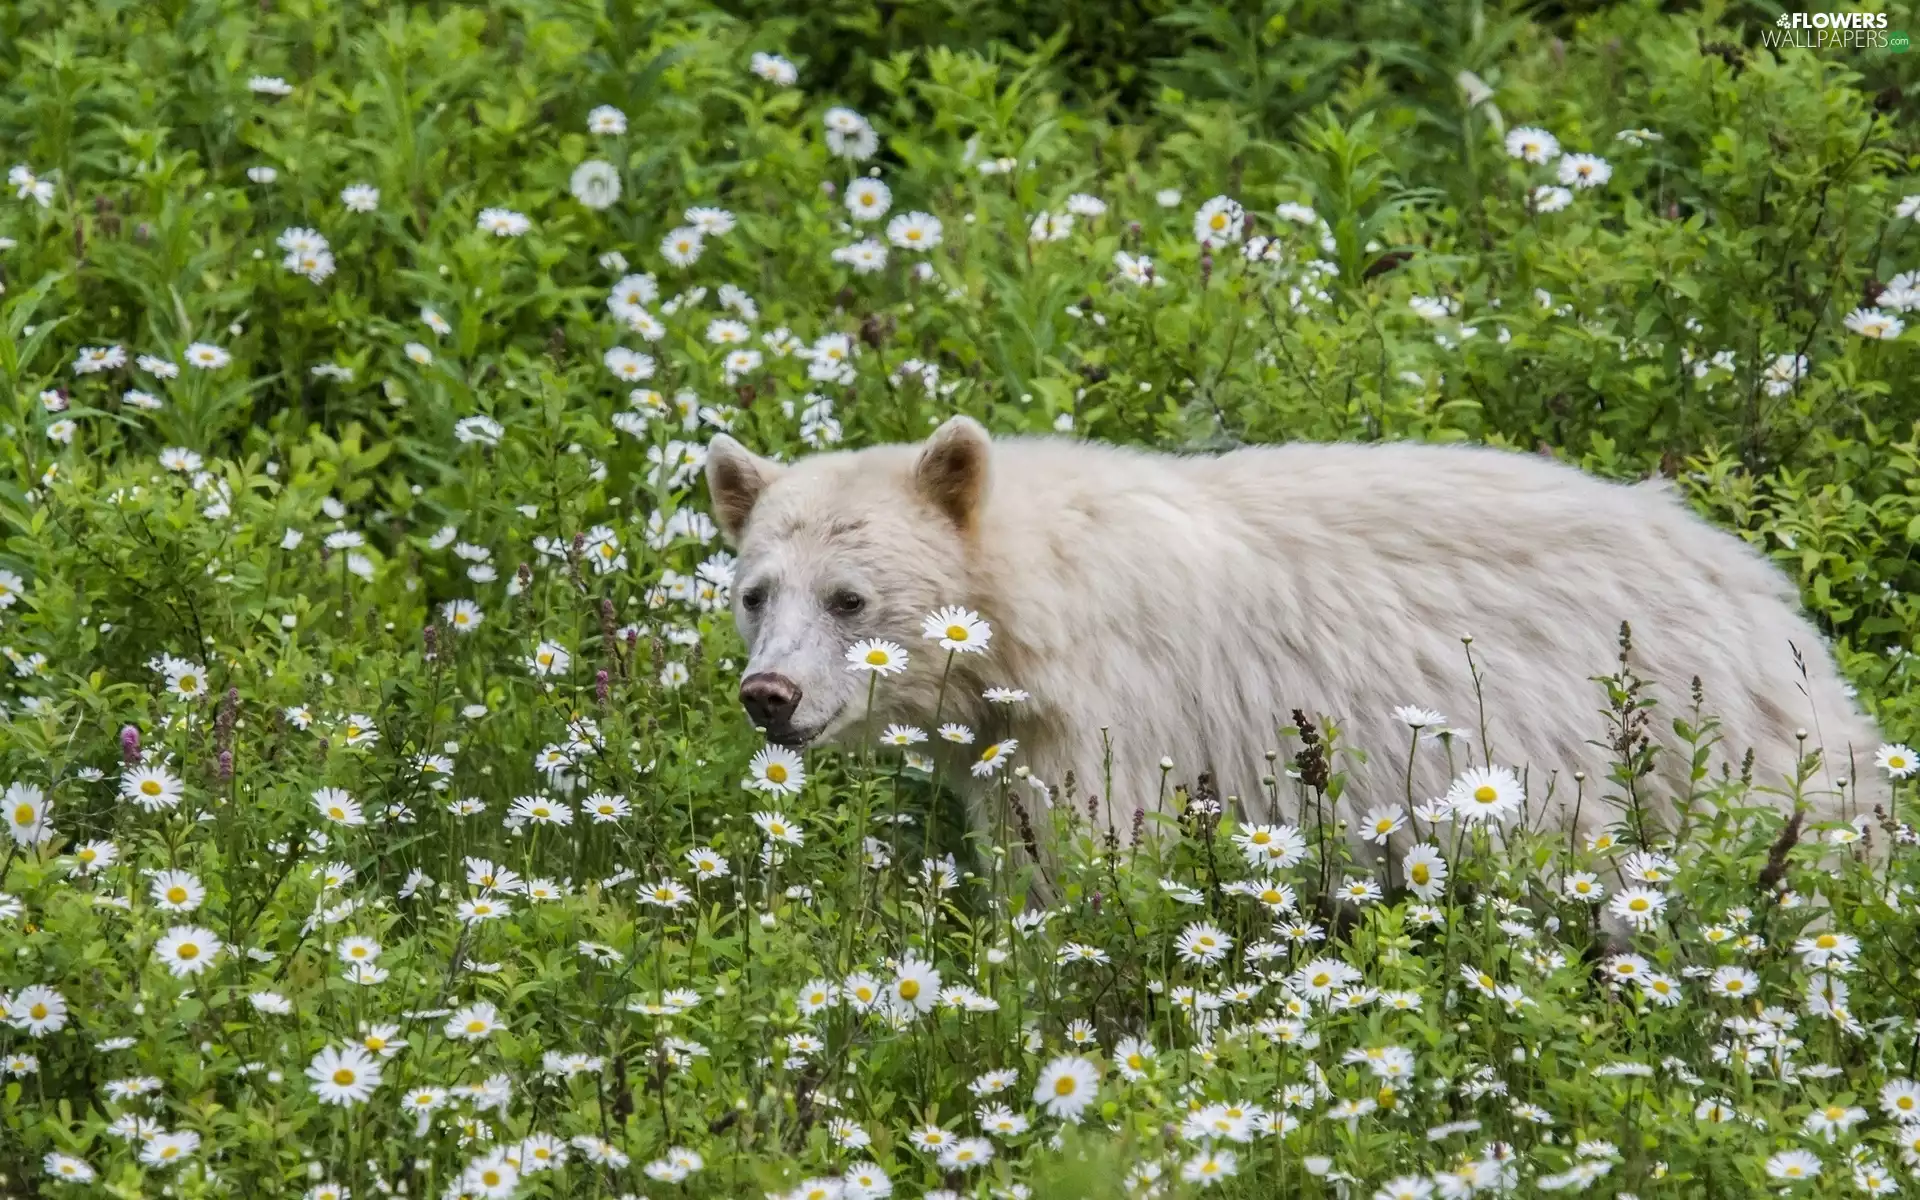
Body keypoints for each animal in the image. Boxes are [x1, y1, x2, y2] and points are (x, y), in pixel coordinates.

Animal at [704, 415, 1878, 849]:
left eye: (850, 598)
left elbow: (1095, 865)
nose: (770, 698)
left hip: (1688, 749)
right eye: (757, 592)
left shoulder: (1124, 724)